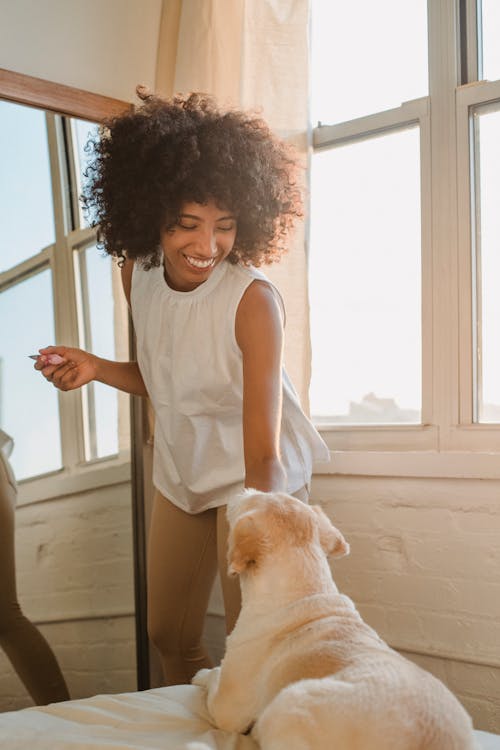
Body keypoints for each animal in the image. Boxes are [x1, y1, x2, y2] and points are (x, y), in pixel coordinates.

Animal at [193, 490, 478, 750]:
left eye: (253, 497)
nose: (243, 489)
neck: (306, 590)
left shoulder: (227, 706)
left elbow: (212, 678)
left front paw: (202, 674)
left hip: (290, 700)